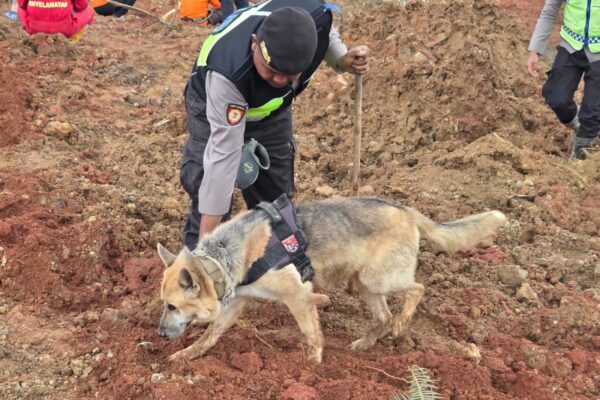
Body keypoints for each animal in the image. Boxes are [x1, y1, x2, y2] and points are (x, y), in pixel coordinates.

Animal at [157, 197, 506, 363]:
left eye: (172, 306)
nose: (159, 334)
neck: (222, 258)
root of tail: (407, 209)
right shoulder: (236, 302)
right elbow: (211, 334)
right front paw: (189, 355)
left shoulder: (296, 296)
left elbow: (312, 333)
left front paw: (312, 364)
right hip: (364, 283)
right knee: (383, 315)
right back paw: (366, 342)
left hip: (377, 278)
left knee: (417, 289)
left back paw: (401, 322)